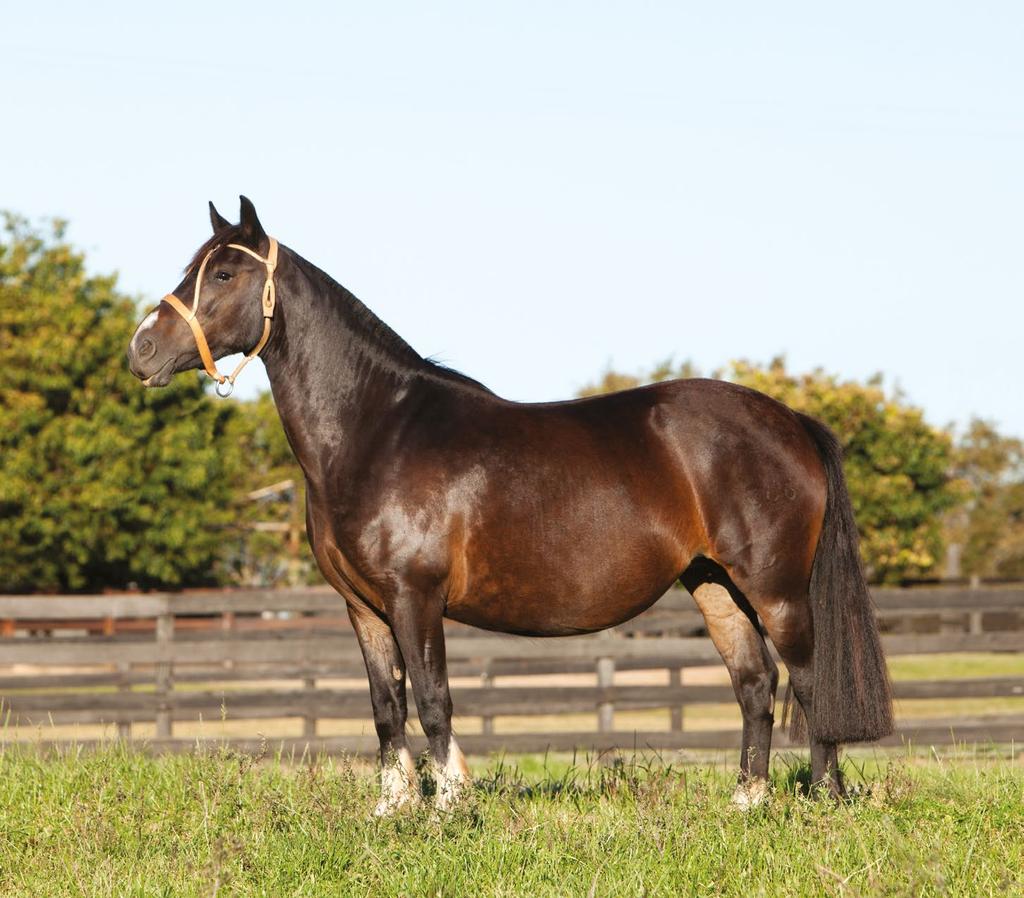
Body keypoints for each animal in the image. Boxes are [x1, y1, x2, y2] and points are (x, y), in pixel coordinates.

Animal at [128, 196, 892, 810]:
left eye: (224, 275)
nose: (143, 351)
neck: (377, 428)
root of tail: (790, 421)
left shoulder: (414, 597)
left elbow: (433, 699)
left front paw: (447, 807)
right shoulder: (363, 607)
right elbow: (386, 705)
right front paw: (391, 809)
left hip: (776, 590)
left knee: (811, 685)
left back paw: (822, 801)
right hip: (713, 584)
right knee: (756, 684)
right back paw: (747, 804)